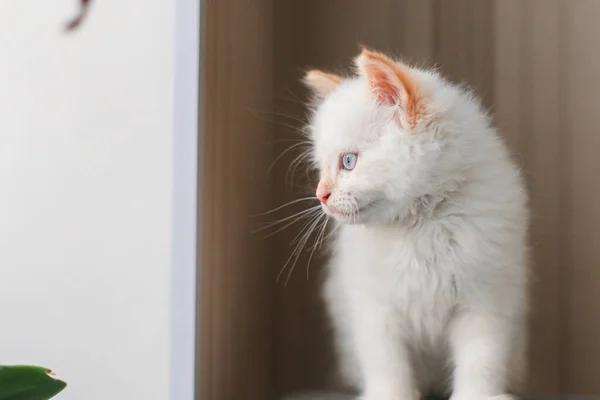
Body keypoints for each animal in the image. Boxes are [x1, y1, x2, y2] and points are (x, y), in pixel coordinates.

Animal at [302, 49, 528, 400]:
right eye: (321, 168)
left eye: (349, 162)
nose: (321, 195)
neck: (419, 223)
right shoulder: (374, 307)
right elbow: (387, 363)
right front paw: (390, 394)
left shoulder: (486, 300)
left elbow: (481, 361)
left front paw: (477, 394)